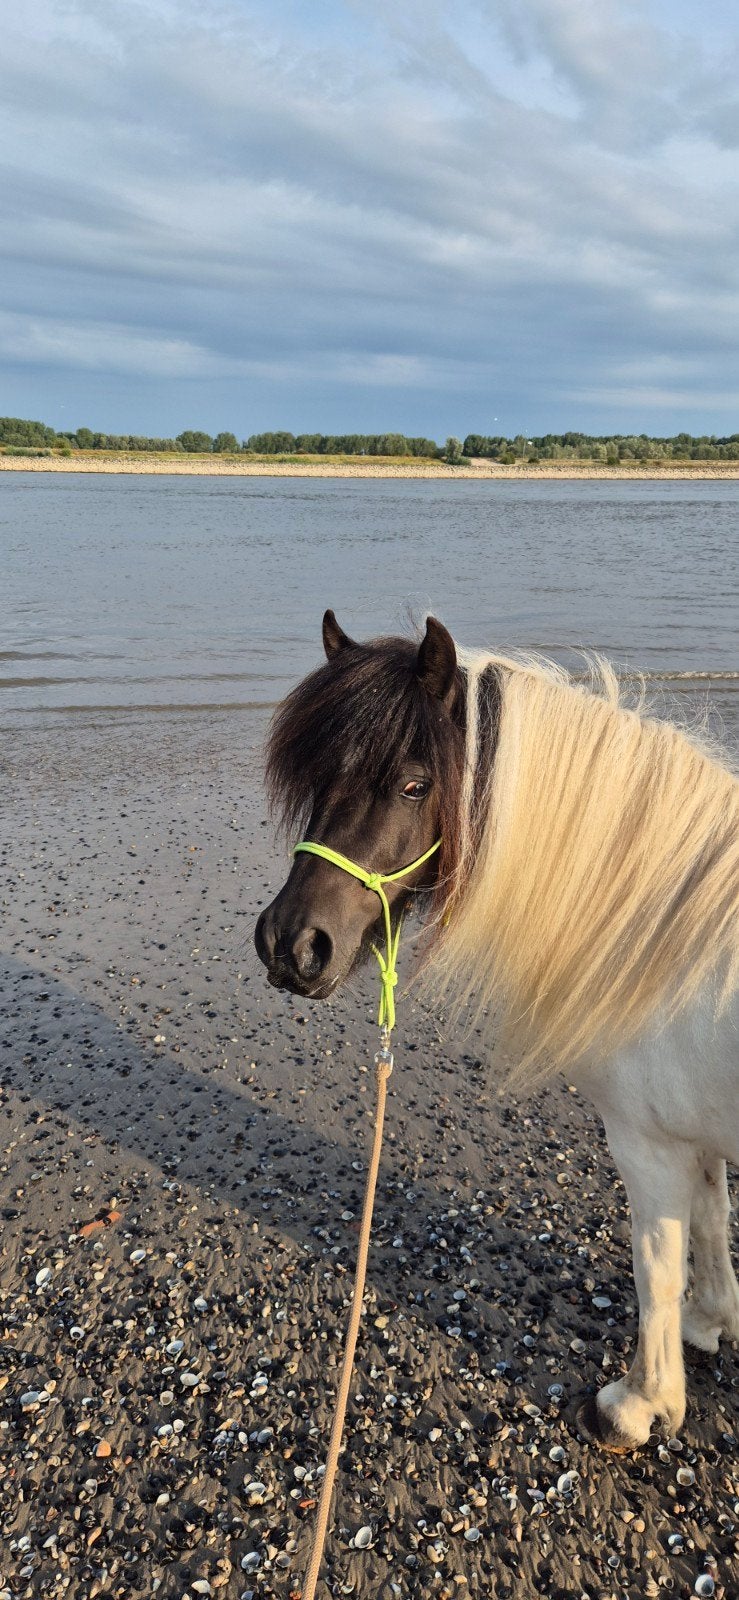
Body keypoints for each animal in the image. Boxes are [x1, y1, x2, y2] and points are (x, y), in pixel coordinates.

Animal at [255, 610, 739, 1450]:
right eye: (317, 779)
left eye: (415, 785)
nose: (290, 945)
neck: (678, 937)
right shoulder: (691, 1131)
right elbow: (707, 1225)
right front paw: (708, 1323)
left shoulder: (646, 1141)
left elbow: (655, 1264)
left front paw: (636, 1405)